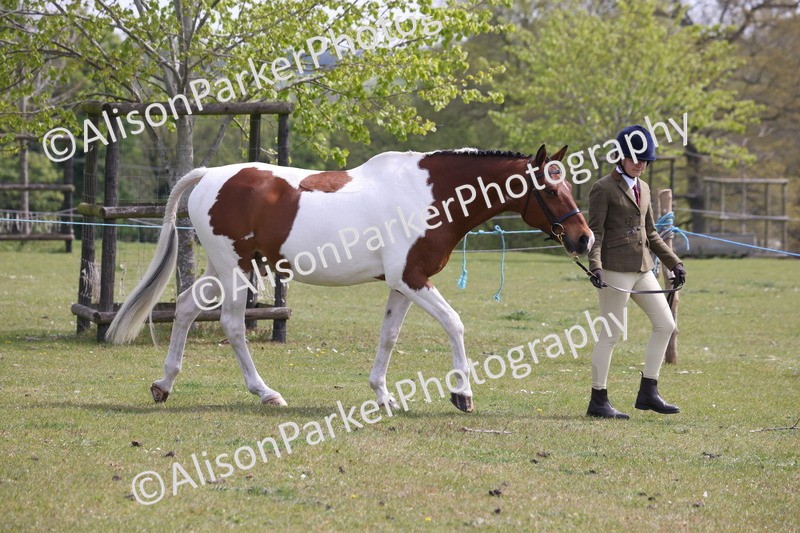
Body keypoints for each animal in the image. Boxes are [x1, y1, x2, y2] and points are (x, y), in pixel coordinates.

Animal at [107, 145, 594, 412]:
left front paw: (384, 397)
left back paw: (164, 385)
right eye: (550, 189)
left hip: (223, 268)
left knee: (186, 308)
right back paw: (265, 393)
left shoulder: (401, 284)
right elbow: (454, 324)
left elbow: (388, 338)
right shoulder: (413, 278)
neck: (430, 195)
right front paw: (462, 394)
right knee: (230, 325)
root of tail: (210, 175)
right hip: (236, 269)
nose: (583, 239)